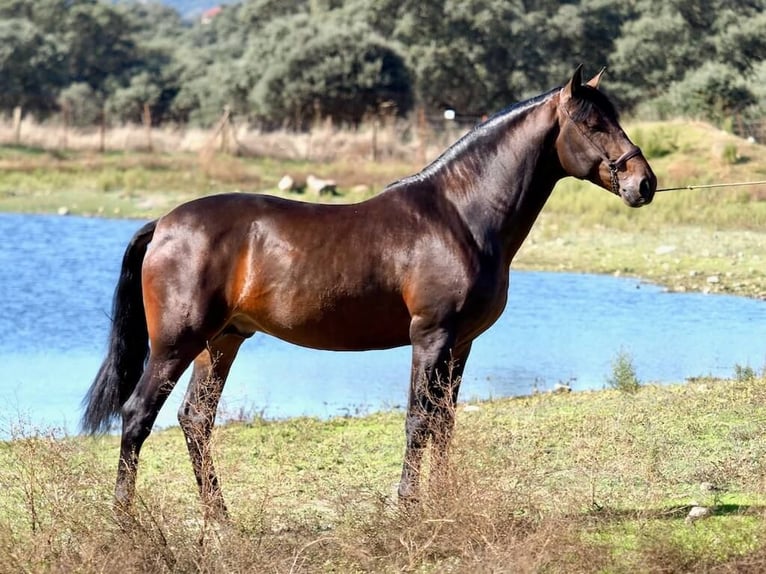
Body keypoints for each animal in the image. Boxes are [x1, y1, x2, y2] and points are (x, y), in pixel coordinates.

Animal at [84, 65, 660, 520]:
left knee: (195, 422)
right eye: (592, 124)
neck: (459, 216)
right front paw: (407, 507)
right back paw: (126, 520)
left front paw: (444, 502)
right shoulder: (431, 337)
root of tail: (163, 224)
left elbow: (445, 423)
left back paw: (221, 519)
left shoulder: (461, 344)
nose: (644, 183)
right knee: (137, 417)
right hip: (176, 344)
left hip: (220, 343)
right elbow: (419, 422)